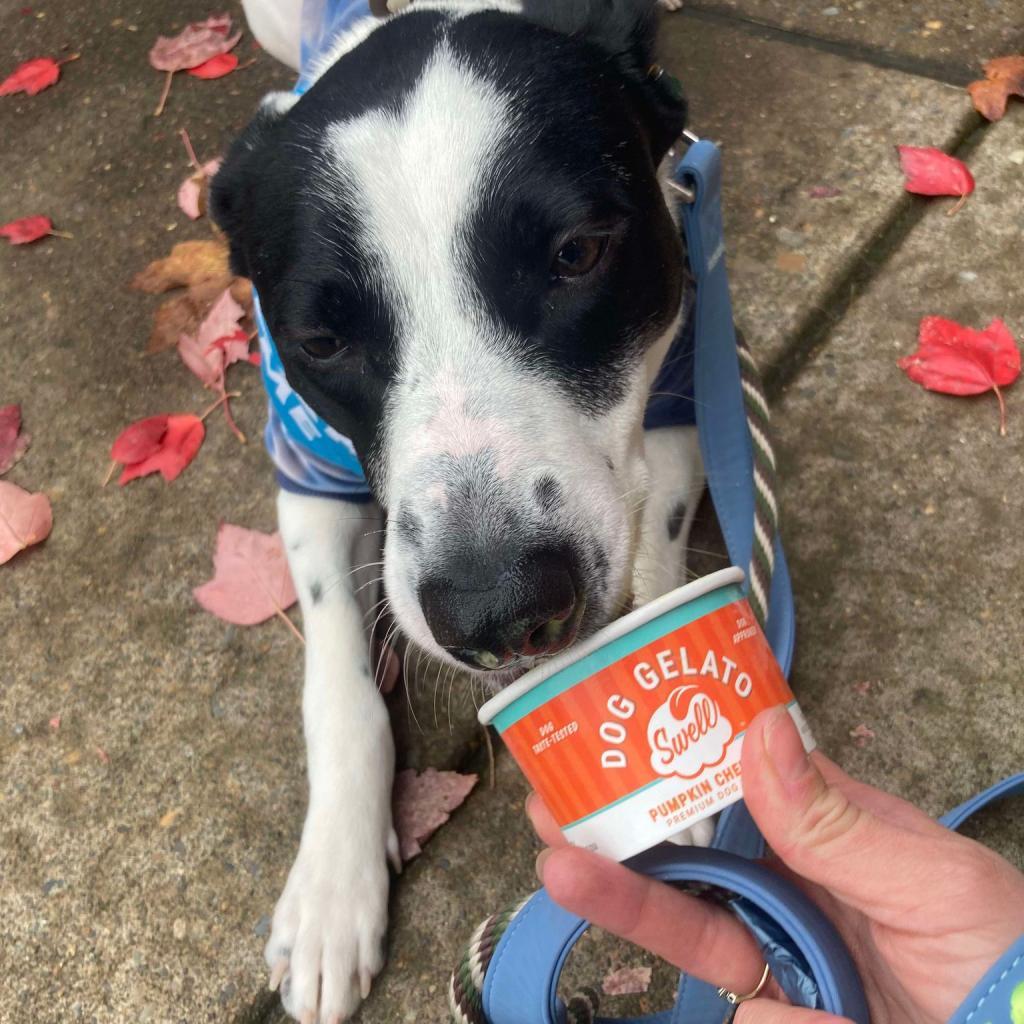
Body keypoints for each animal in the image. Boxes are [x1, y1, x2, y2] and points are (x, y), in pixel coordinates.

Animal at [214, 4, 712, 1019]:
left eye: (577, 254)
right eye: (320, 338)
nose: (501, 613)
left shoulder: (676, 385)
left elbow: (651, 566)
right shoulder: (307, 470)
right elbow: (338, 688)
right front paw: (332, 887)